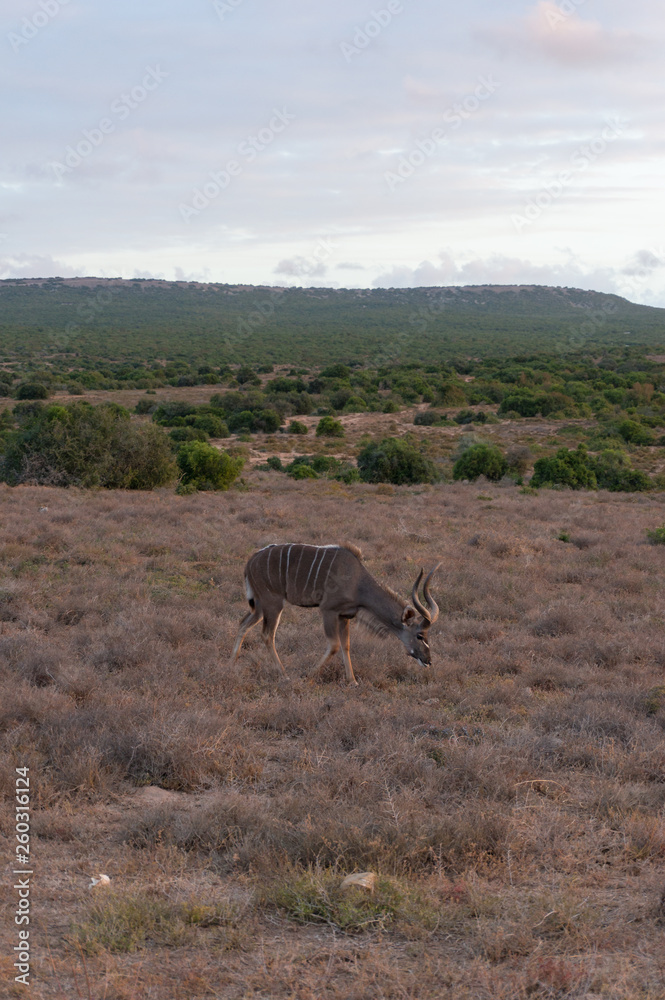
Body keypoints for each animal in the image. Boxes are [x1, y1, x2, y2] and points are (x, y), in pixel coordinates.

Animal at [231, 544, 438, 684]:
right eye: (420, 635)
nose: (428, 660)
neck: (357, 580)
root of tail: (251, 560)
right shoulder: (328, 610)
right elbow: (334, 645)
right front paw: (308, 675)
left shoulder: (344, 616)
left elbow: (346, 645)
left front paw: (352, 681)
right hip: (273, 604)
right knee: (267, 635)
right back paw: (284, 674)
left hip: (260, 607)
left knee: (243, 624)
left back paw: (231, 664)